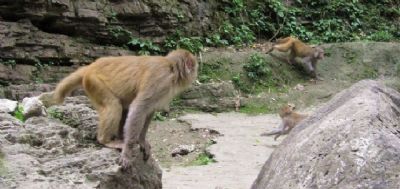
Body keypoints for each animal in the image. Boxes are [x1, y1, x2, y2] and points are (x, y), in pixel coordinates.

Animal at [39, 49, 198, 168]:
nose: (195, 72)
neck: (171, 68)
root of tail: (90, 67)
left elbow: (148, 112)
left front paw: (141, 140)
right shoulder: (161, 79)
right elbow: (139, 108)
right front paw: (128, 150)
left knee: (124, 107)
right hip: (94, 82)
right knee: (114, 105)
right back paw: (106, 140)